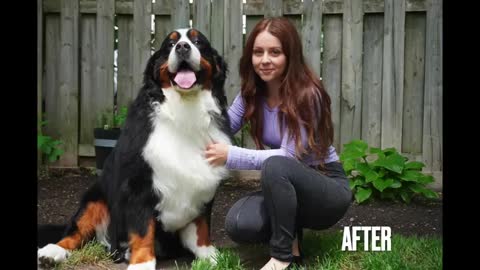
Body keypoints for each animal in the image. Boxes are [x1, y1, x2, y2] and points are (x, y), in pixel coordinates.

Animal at [38, 28, 232, 268]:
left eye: (198, 41)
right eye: (170, 44)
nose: (183, 47)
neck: (184, 110)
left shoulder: (203, 182)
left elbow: (201, 228)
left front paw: (211, 256)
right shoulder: (138, 184)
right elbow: (142, 229)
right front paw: (142, 263)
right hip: (94, 198)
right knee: (74, 233)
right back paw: (51, 252)